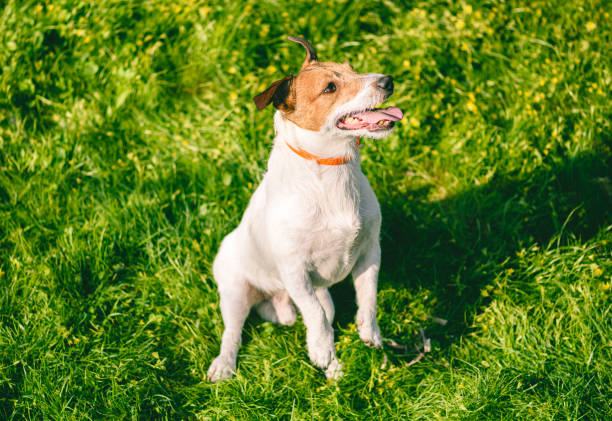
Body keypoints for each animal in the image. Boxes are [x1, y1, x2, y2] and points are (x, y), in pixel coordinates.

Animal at [208, 36, 404, 380]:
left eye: (352, 68)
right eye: (330, 88)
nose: (387, 80)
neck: (329, 168)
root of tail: (277, 299)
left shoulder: (370, 252)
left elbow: (367, 298)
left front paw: (370, 333)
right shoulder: (294, 270)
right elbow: (316, 317)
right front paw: (322, 350)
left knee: (320, 313)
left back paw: (333, 368)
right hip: (235, 290)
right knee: (234, 331)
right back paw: (225, 364)